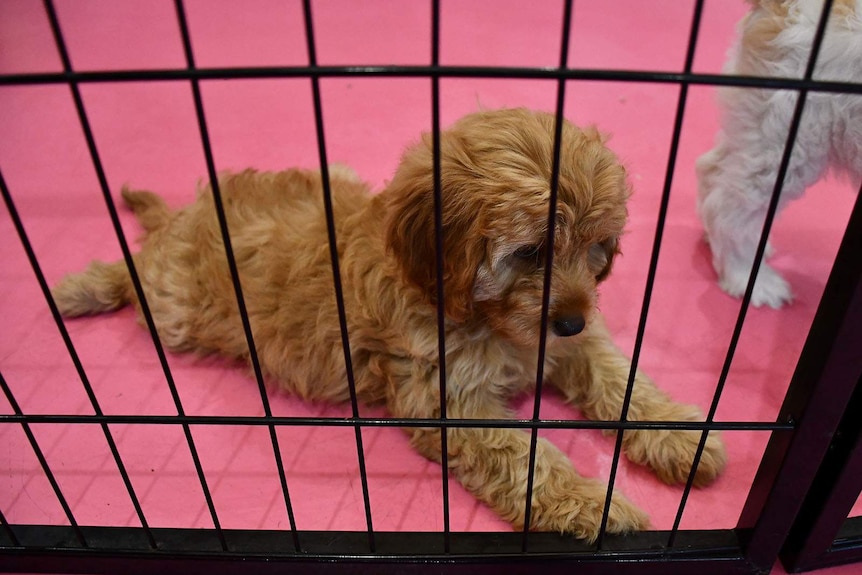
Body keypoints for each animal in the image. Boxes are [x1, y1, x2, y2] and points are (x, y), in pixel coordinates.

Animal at [54, 109, 724, 544]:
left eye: (595, 248)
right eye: (532, 252)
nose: (570, 319)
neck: (481, 316)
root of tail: (184, 216)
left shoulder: (567, 348)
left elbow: (620, 379)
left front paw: (680, 435)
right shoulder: (447, 398)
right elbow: (525, 455)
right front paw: (593, 503)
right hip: (176, 304)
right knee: (136, 273)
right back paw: (78, 289)